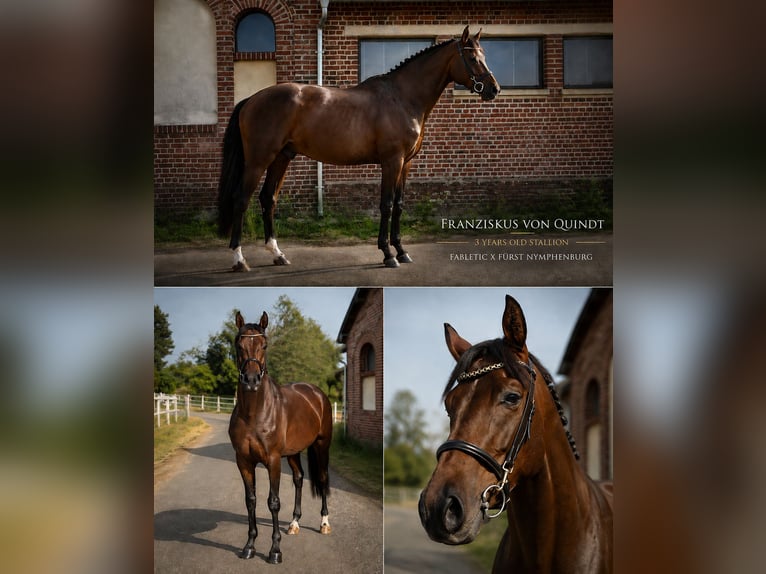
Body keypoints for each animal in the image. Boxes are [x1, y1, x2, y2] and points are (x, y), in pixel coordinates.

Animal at [217, 26, 500, 271]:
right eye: (473, 58)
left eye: (485, 56)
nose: (494, 89)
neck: (402, 97)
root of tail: (252, 99)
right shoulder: (392, 161)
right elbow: (386, 204)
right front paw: (388, 254)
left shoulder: (406, 163)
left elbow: (399, 204)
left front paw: (402, 251)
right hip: (258, 160)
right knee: (241, 199)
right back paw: (239, 259)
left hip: (281, 158)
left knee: (268, 199)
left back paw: (278, 254)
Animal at [228, 310, 333, 564]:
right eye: (238, 345)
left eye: (264, 345)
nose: (251, 380)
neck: (254, 414)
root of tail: (318, 394)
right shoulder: (243, 461)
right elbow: (251, 500)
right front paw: (249, 546)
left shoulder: (273, 460)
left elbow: (273, 502)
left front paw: (275, 551)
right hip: (294, 453)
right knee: (299, 478)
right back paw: (294, 523)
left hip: (322, 446)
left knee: (323, 479)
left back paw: (324, 523)